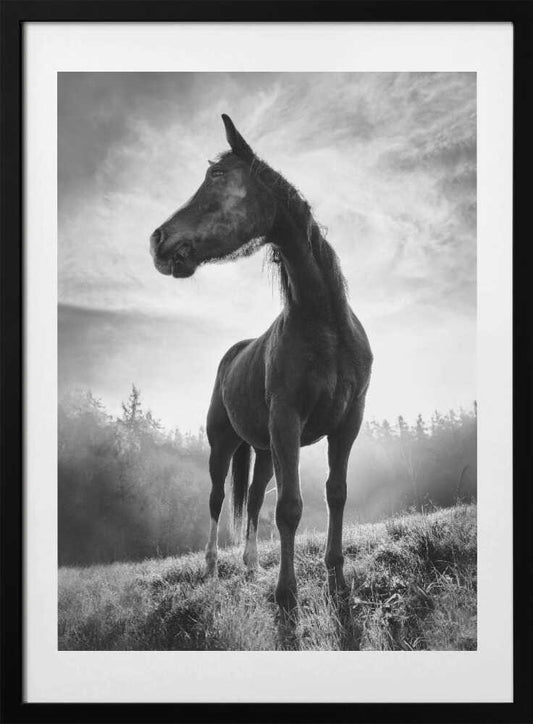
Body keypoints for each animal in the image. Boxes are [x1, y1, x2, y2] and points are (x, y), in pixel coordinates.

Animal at [150, 115, 372, 612]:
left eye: (217, 175)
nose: (158, 240)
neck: (323, 323)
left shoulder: (347, 423)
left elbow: (336, 494)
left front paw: (336, 578)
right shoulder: (288, 422)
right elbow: (289, 507)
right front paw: (287, 594)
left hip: (266, 450)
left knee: (251, 499)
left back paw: (251, 565)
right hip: (222, 444)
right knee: (217, 499)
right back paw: (212, 567)